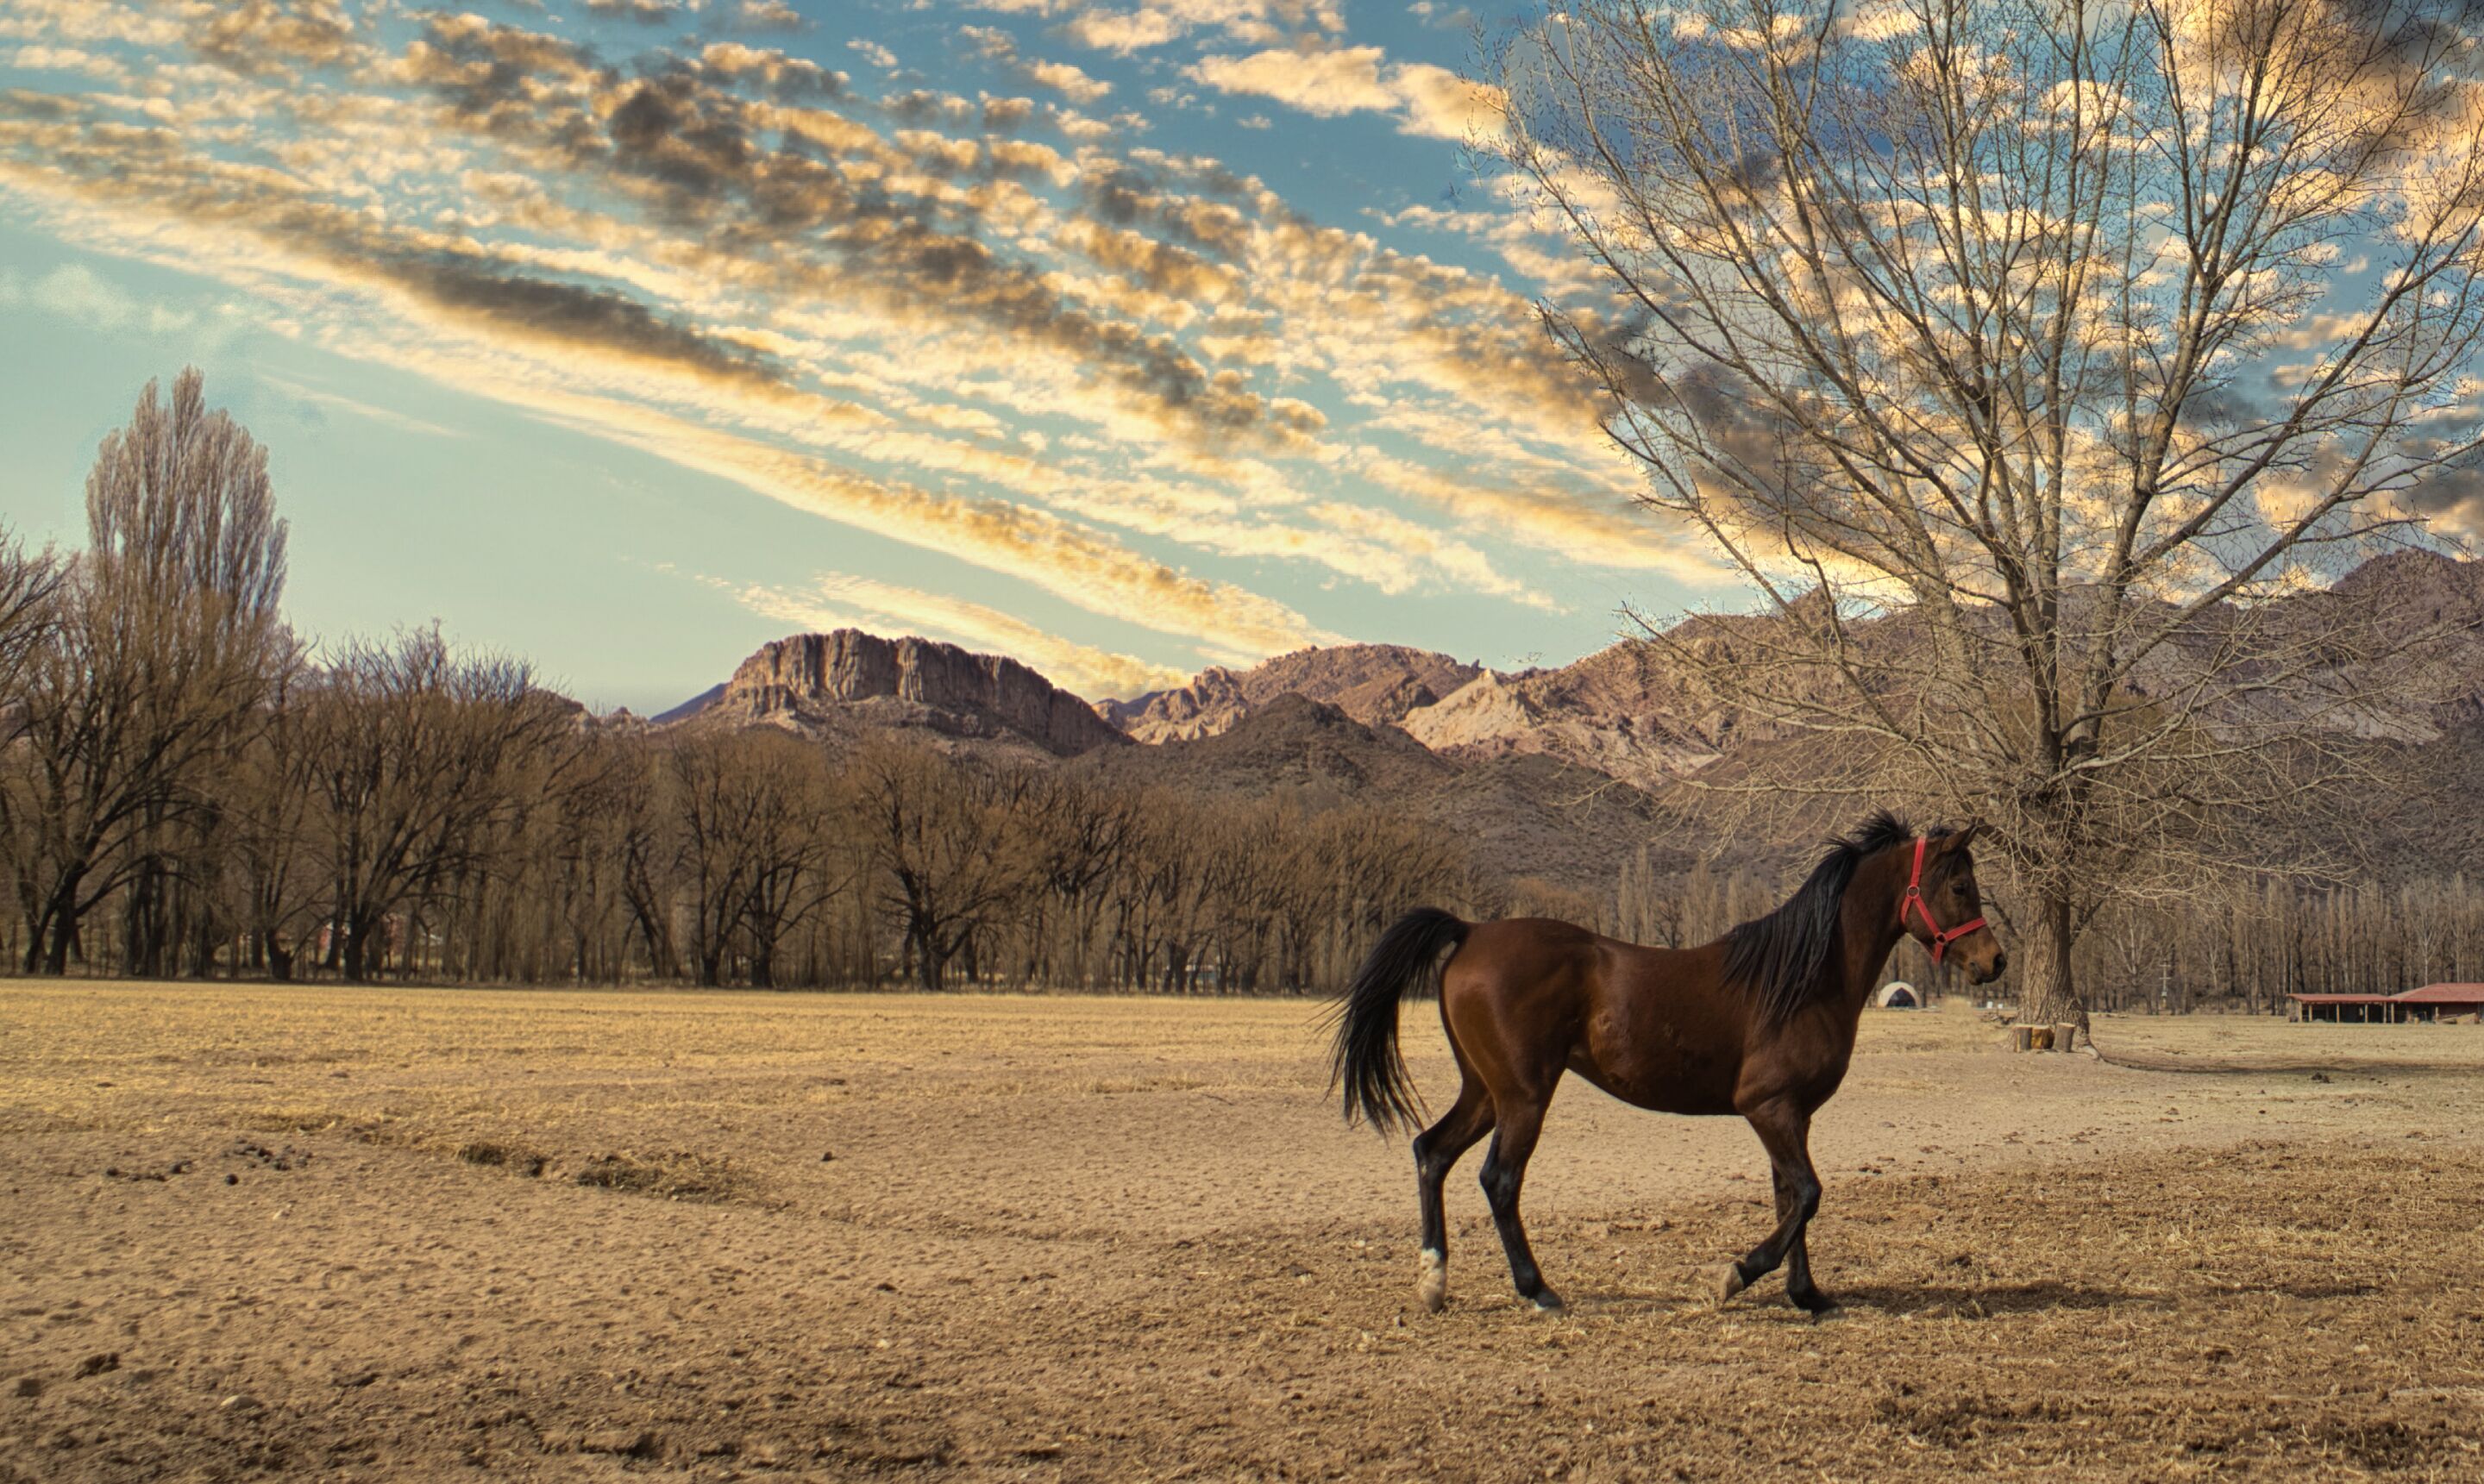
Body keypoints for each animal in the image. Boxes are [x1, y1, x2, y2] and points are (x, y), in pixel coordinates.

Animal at [1328, 812, 2006, 1316]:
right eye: (1959, 887)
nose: (1994, 962)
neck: (1807, 977)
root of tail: (1469, 931)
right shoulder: (1768, 1108)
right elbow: (1809, 1194)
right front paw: (1735, 1276)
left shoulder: (1793, 1115)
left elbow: (1790, 1198)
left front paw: (1806, 1294)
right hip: (1522, 1096)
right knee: (1498, 1179)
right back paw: (1538, 1290)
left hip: (1485, 1092)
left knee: (1432, 1152)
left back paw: (1433, 1282)